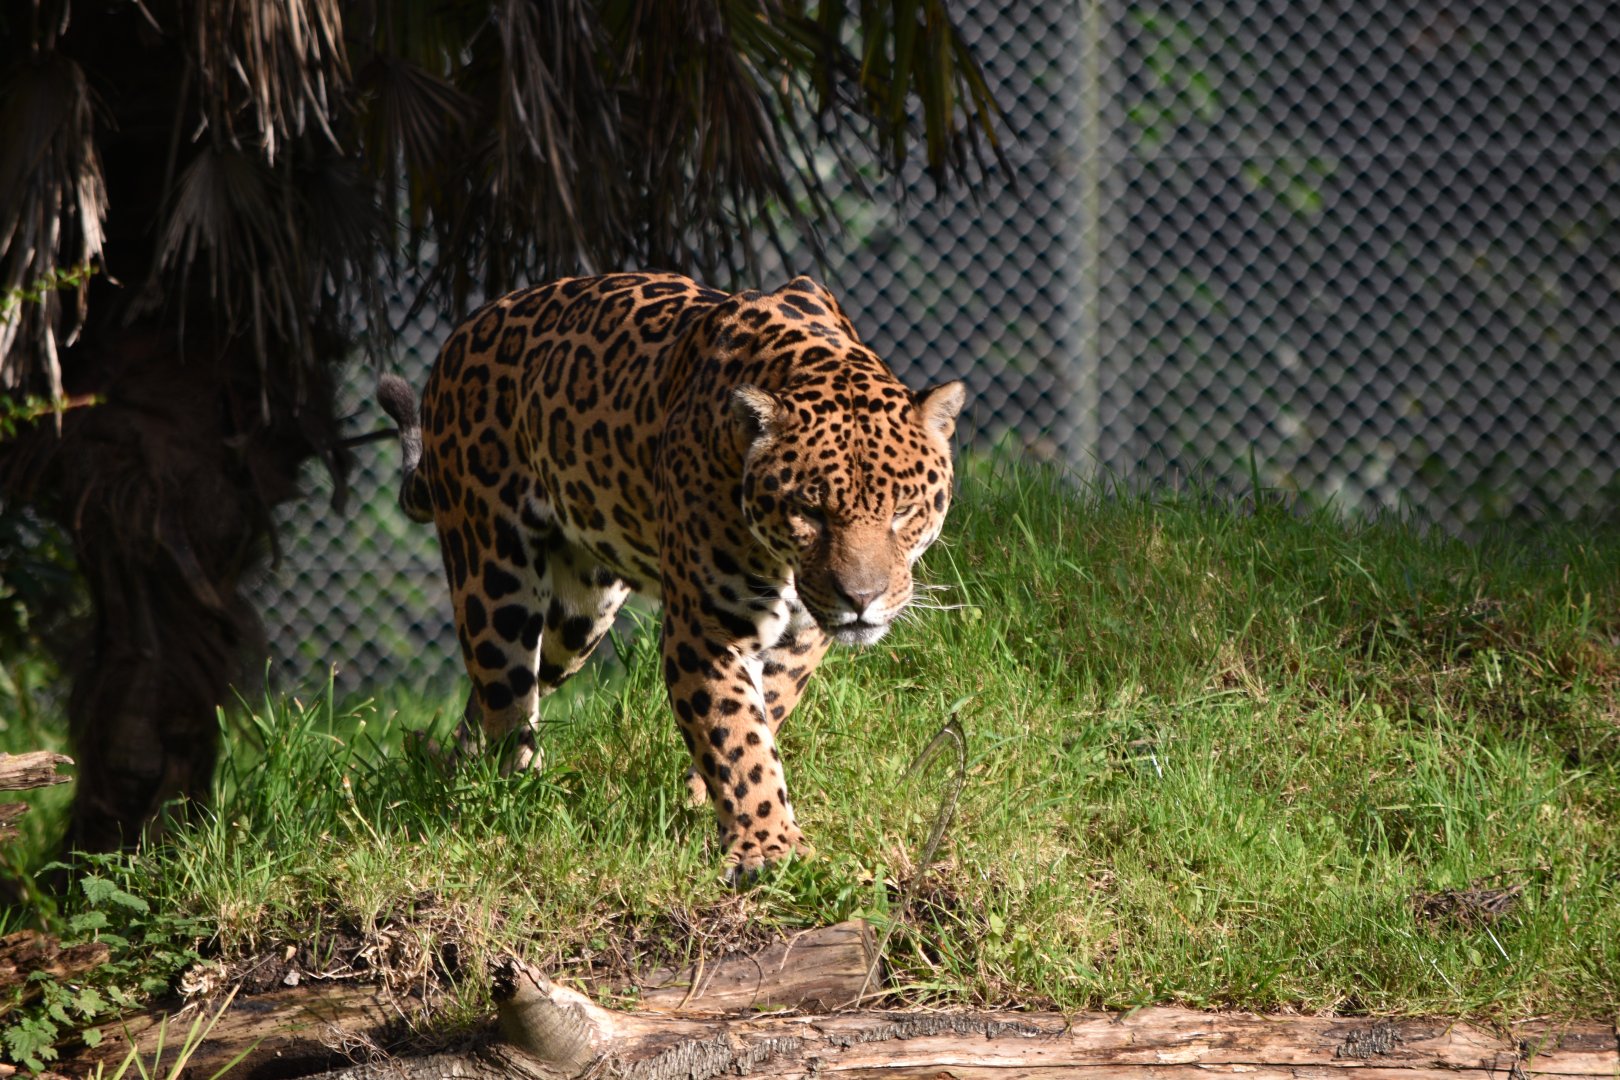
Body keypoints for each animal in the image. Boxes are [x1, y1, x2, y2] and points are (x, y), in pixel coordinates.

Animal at [377, 272, 965, 878]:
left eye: (903, 511)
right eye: (809, 511)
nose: (862, 599)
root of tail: (461, 333)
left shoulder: (803, 634)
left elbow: (764, 711)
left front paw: (708, 800)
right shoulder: (706, 630)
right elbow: (736, 734)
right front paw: (768, 846)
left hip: (577, 617)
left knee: (502, 691)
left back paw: (460, 775)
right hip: (494, 578)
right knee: (505, 696)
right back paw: (511, 799)